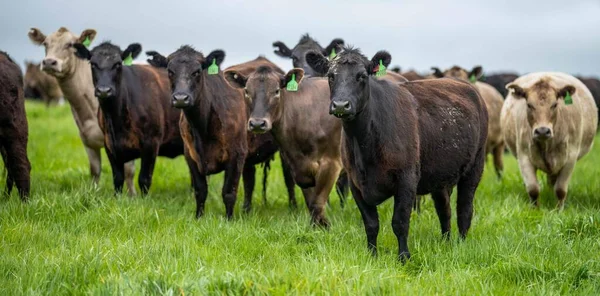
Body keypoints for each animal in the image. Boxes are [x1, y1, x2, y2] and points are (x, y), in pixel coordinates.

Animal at [28, 27, 136, 194]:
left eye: (70, 44)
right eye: (45, 43)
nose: (49, 62)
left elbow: (129, 172)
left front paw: (133, 196)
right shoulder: (87, 140)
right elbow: (95, 170)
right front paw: (93, 193)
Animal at [72, 41, 183, 194]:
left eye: (118, 64)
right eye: (93, 64)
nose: (104, 90)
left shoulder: (151, 142)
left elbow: (144, 180)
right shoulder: (109, 144)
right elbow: (118, 178)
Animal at [225, 67, 344, 228]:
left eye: (276, 91)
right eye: (247, 91)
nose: (257, 124)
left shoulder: (331, 162)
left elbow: (317, 202)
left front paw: (325, 227)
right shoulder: (297, 166)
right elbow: (310, 200)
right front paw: (316, 227)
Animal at [502, 72, 596, 209]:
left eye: (555, 104)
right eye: (529, 105)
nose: (542, 131)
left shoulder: (570, 157)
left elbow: (560, 190)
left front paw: (559, 210)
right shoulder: (523, 156)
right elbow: (533, 188)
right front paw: (535, 209)